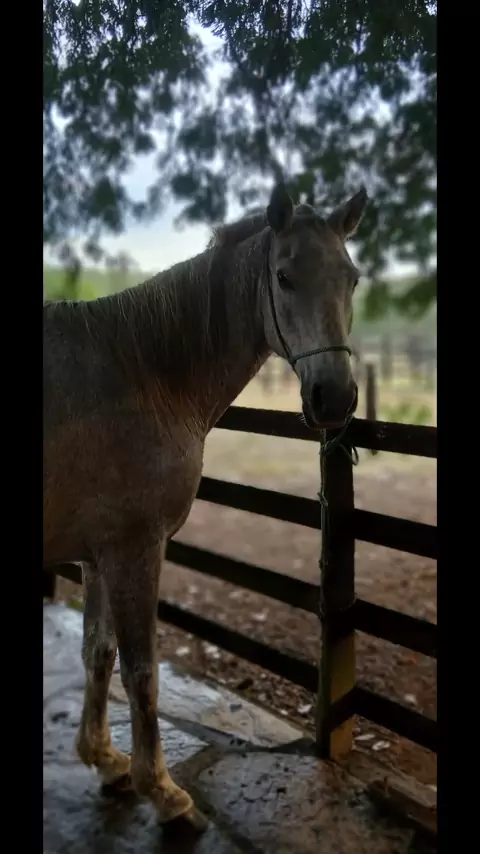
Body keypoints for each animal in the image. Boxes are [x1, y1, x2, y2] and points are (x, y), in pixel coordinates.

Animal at [43, 182, 367, 828]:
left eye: (352, 278)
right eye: (284, 276)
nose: (335, 397)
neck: (140, 373)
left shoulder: (97, 554)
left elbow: (98, 651)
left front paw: (105, 759)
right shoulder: (135, 551)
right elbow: (142, 673)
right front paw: (163, 791)